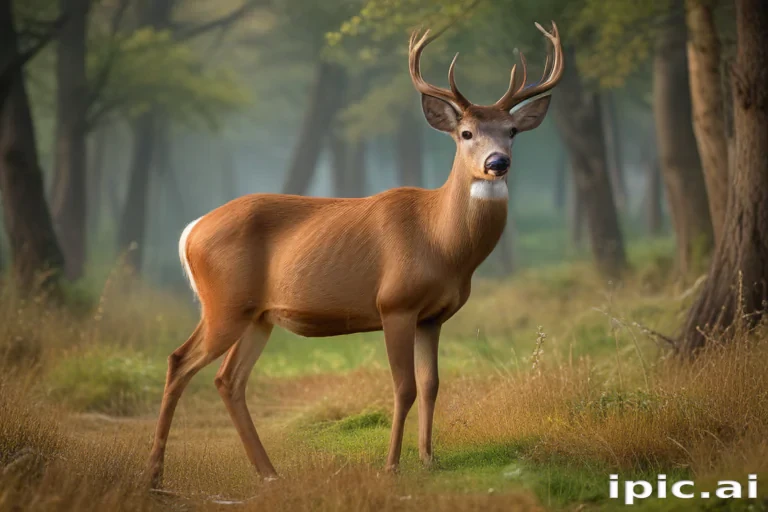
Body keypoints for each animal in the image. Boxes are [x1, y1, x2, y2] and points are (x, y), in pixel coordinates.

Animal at [146, 21, 563, 488]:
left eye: (512, 131)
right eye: (466, 133)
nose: (497, 163)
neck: (440, 241)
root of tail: (191, 232)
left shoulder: (433, 316)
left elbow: (432, 384)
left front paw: (429, 460)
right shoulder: (395, 303)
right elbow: (404, 386)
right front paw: (392, 466)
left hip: (257, 315)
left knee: (227, 380)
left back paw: (269, 472)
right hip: (225, 303)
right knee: (179, 361)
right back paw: (155, 475)